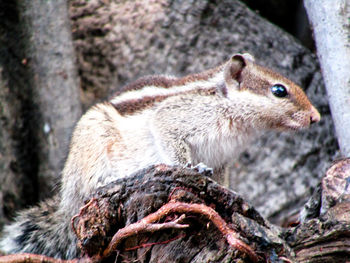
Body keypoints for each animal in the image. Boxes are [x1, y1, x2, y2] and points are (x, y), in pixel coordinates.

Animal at [0, 53, 320, 260]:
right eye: (279, 90)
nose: (316, 117)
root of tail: (65, 204)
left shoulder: (222, 159)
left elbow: (221, 180)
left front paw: (227, 190)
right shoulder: (172, 120)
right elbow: (173, 144)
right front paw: (192, 168)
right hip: (91, 150)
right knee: (87, 189)